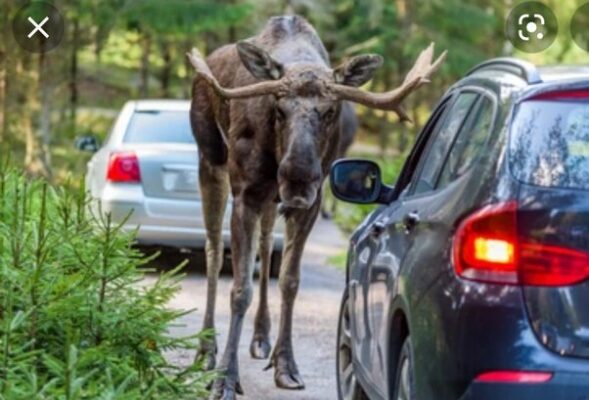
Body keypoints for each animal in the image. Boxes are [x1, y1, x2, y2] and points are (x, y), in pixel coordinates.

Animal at [186, 15, 444, 400]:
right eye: (278, 108)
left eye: (330, 111)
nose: (297, 176)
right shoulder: (245, 193)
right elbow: (240, 289)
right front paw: (225, 379)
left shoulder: (308, 202)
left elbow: (290, 281)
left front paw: (286, 366)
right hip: (210, 160)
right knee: (214, 251)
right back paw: (205, 349)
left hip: (269, 199)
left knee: (265, 245)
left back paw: (261, 338)